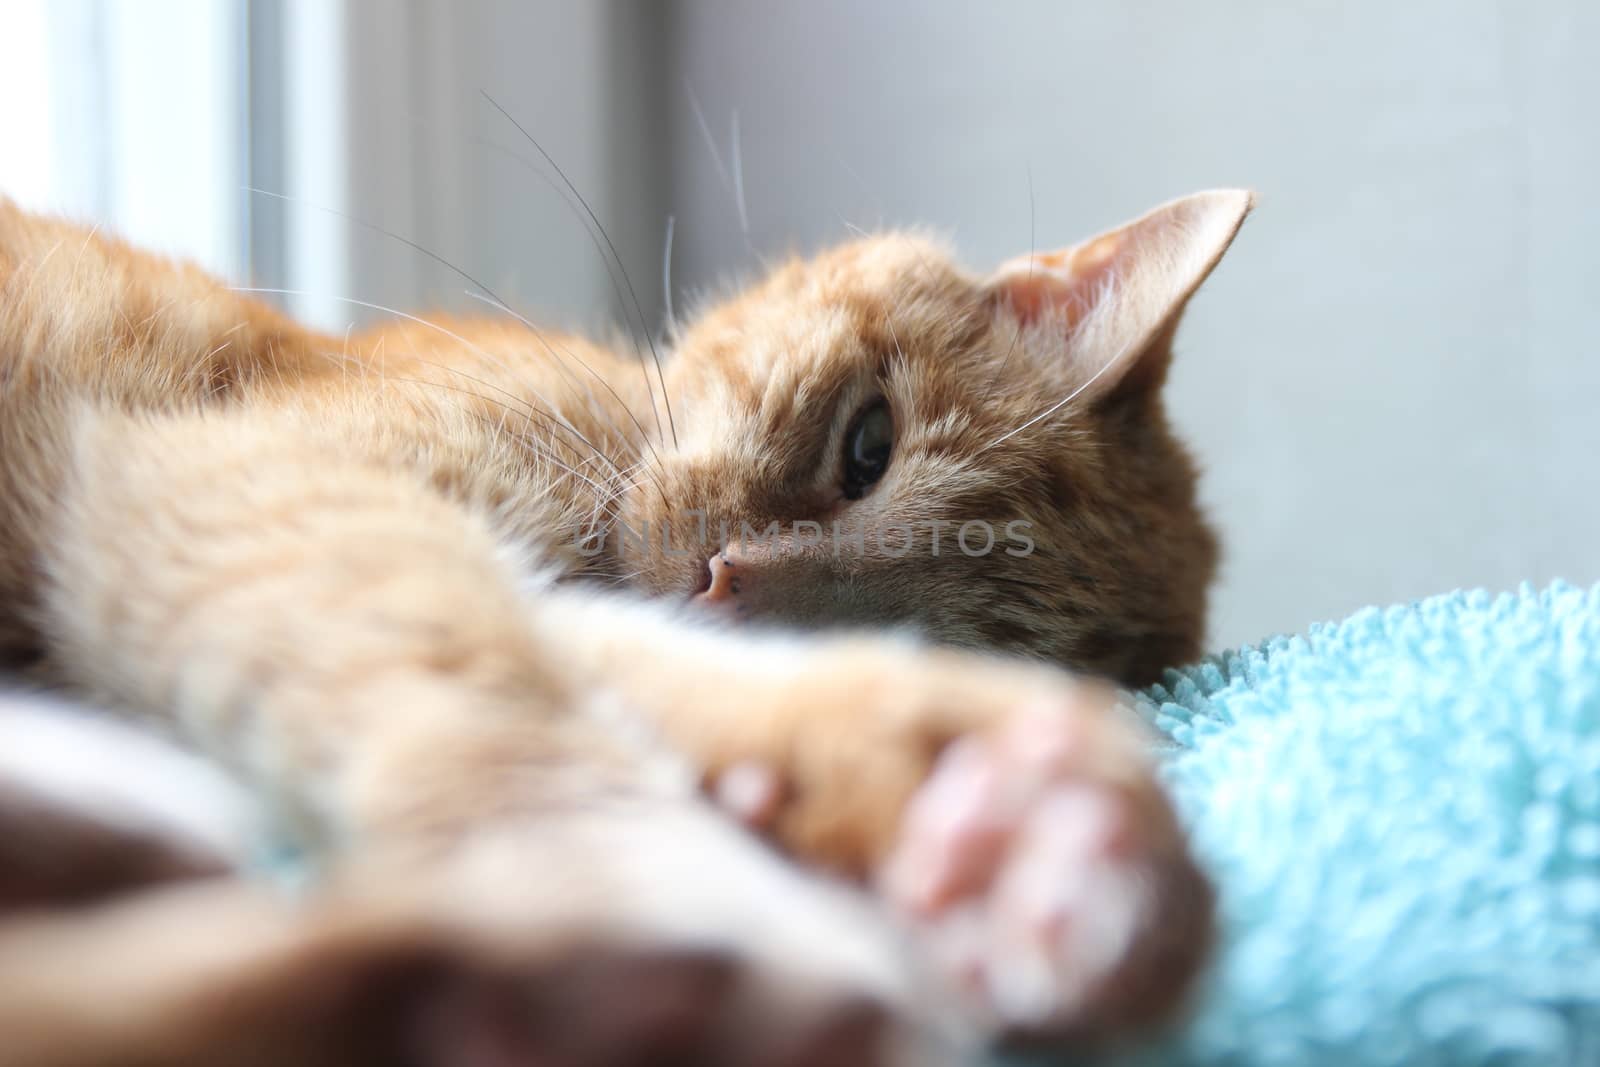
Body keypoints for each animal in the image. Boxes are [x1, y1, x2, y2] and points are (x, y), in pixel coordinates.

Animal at [0, 187, 1248, 1062]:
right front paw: (638, 871)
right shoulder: (262, 481)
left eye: (926, 631)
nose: (726, 583)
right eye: (867, 448)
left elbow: (616, 669)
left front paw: (1014, 828)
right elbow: (494, 701)